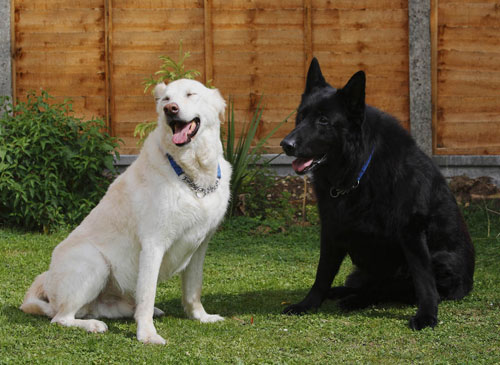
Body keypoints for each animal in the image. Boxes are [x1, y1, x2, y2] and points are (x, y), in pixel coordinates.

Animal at [19, 79, 230, 344]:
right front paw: (147, 335)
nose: (170, 109)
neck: (192, 174)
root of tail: (46, 280)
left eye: (191, 94)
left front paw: (201, 317)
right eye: (166, 99)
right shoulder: (153, 244)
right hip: (95, 262)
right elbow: (148, 293)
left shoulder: (200, 245)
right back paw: (93, 325)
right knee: (60, 318)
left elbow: (193, 289)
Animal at [280, 57, 474, 330]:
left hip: (441, 261)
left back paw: (356, 300)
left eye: (324, 121)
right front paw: (308, 304)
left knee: (392, 288)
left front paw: (427, 315)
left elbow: (423, 281)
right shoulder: (332, 230)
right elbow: (322, 274)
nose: (286, 145)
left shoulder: (411, 232)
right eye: (300, 116)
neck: (357, 172)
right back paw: (342, 292)